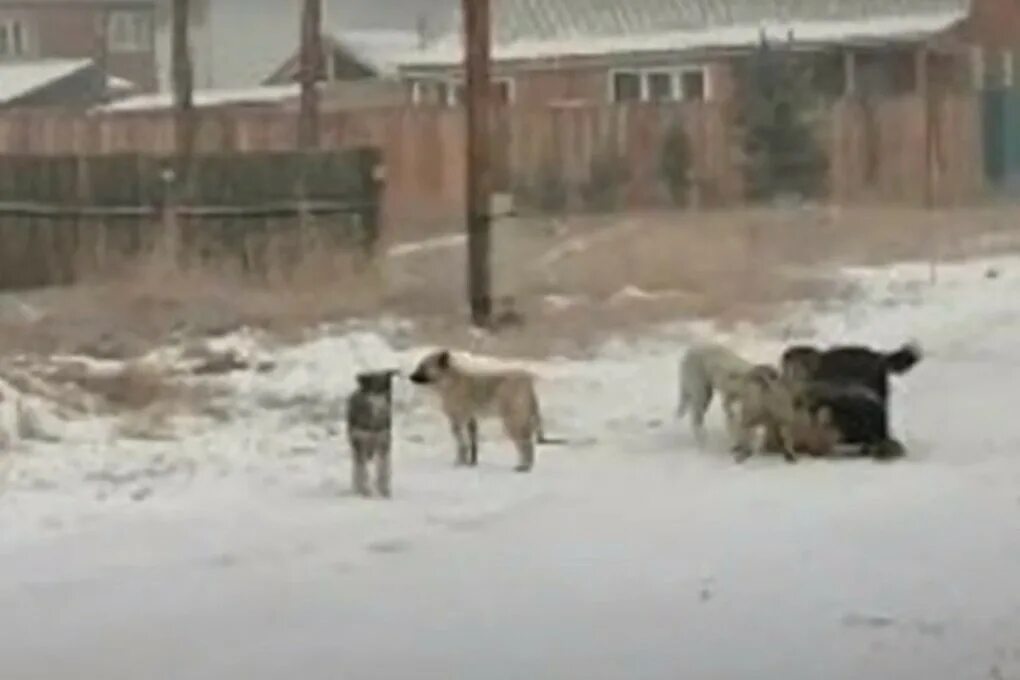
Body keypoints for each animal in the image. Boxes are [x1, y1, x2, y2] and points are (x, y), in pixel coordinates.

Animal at [348, 369, 399, 497]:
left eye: (388, 391)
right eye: (376, 390)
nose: (387, 406)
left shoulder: (383, 442)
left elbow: (383, 469)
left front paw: (384, 490)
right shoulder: (360, 442)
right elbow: (363, 470)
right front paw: (365, 491)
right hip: (356, 445)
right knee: (357, 467)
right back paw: (357, 487)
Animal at [408, 350, 567, 473]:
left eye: (422, 367)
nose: (410, 377)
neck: (449, 381)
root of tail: (528, 382)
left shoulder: (458, 420)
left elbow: (461, 445)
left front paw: (460, 462)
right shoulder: (471, 420)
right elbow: (473, 444)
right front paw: (471, 463)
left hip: (511, 421)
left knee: (526, 445)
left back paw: (524, 467)